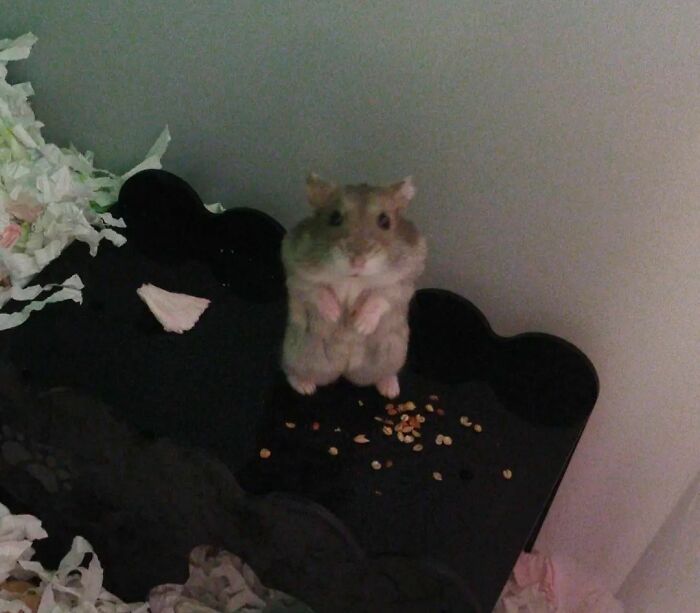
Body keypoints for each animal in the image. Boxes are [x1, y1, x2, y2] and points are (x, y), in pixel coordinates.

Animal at [281, 174, 427, 398]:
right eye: (334, 218)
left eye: (385, 221)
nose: (357, 261)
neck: (354, 278)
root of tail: (344, 367)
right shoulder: (296, 271)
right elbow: (316, 290)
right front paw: (334, 314)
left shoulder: (403, 281)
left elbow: (380, 297)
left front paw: (360, 325)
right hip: (300, 352)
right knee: (292, 371)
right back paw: (306, 388)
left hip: (390, 354)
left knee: (382, 374)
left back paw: (391, 391)